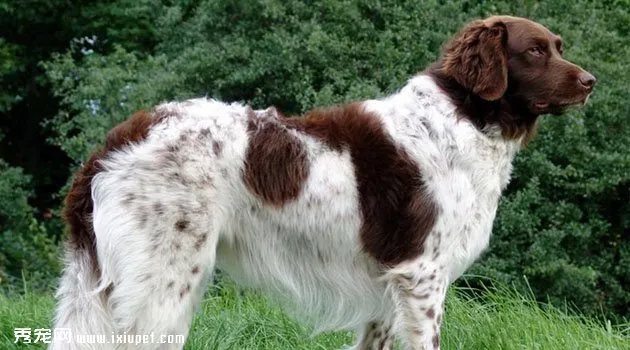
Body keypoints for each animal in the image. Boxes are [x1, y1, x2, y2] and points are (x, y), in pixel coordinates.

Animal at [51, 15, 596, 350]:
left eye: (559, 48)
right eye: (534, 51)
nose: (590, 81)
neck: (462, 118)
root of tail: (109, 146)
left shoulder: (386, 287)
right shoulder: (422, 274)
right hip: (164, 286)